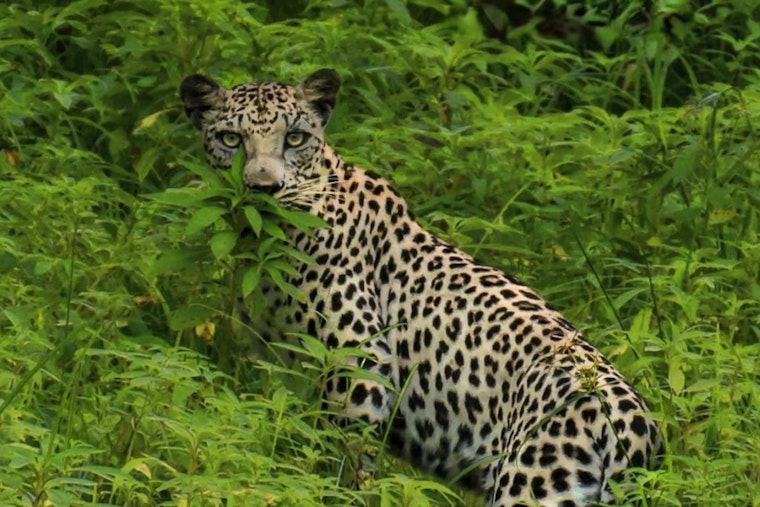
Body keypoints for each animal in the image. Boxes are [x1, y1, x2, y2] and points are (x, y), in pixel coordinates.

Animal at [180, 68, 661, 506]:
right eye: (231, 139)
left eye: (294, 138)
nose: (263, 188)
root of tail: (636, 431)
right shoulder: (278, 365)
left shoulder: (361, 367)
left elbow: (348, 464)